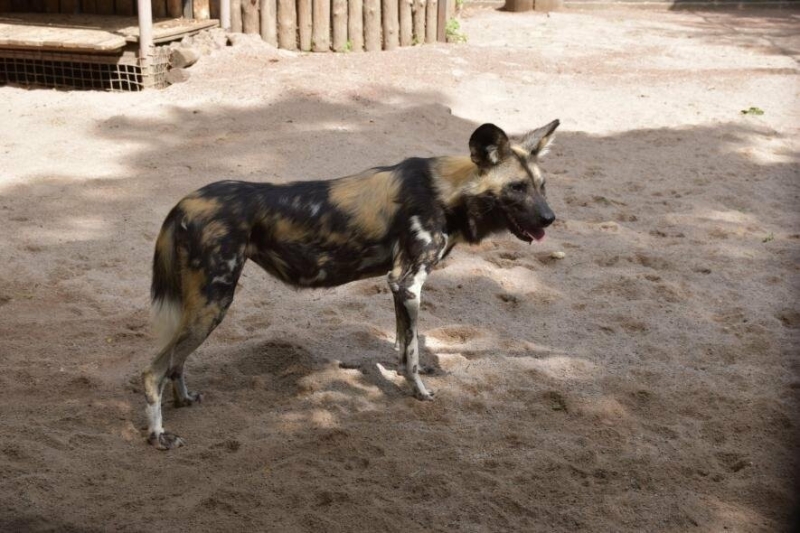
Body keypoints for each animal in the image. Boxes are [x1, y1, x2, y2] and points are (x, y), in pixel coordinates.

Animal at [142, 120, 556, 448]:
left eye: (542, 185)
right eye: (516, 188)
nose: (550, 218)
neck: (447, 193)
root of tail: (183, 203)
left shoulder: (400, 287)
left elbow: (403, 344)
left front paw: (407, 378)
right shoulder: (408, 283)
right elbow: (413, 353)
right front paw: (419, 392)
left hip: (203, 306)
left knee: (175, 362)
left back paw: (183, 399)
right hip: (213, 302)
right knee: (153, 371)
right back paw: (159, 436)